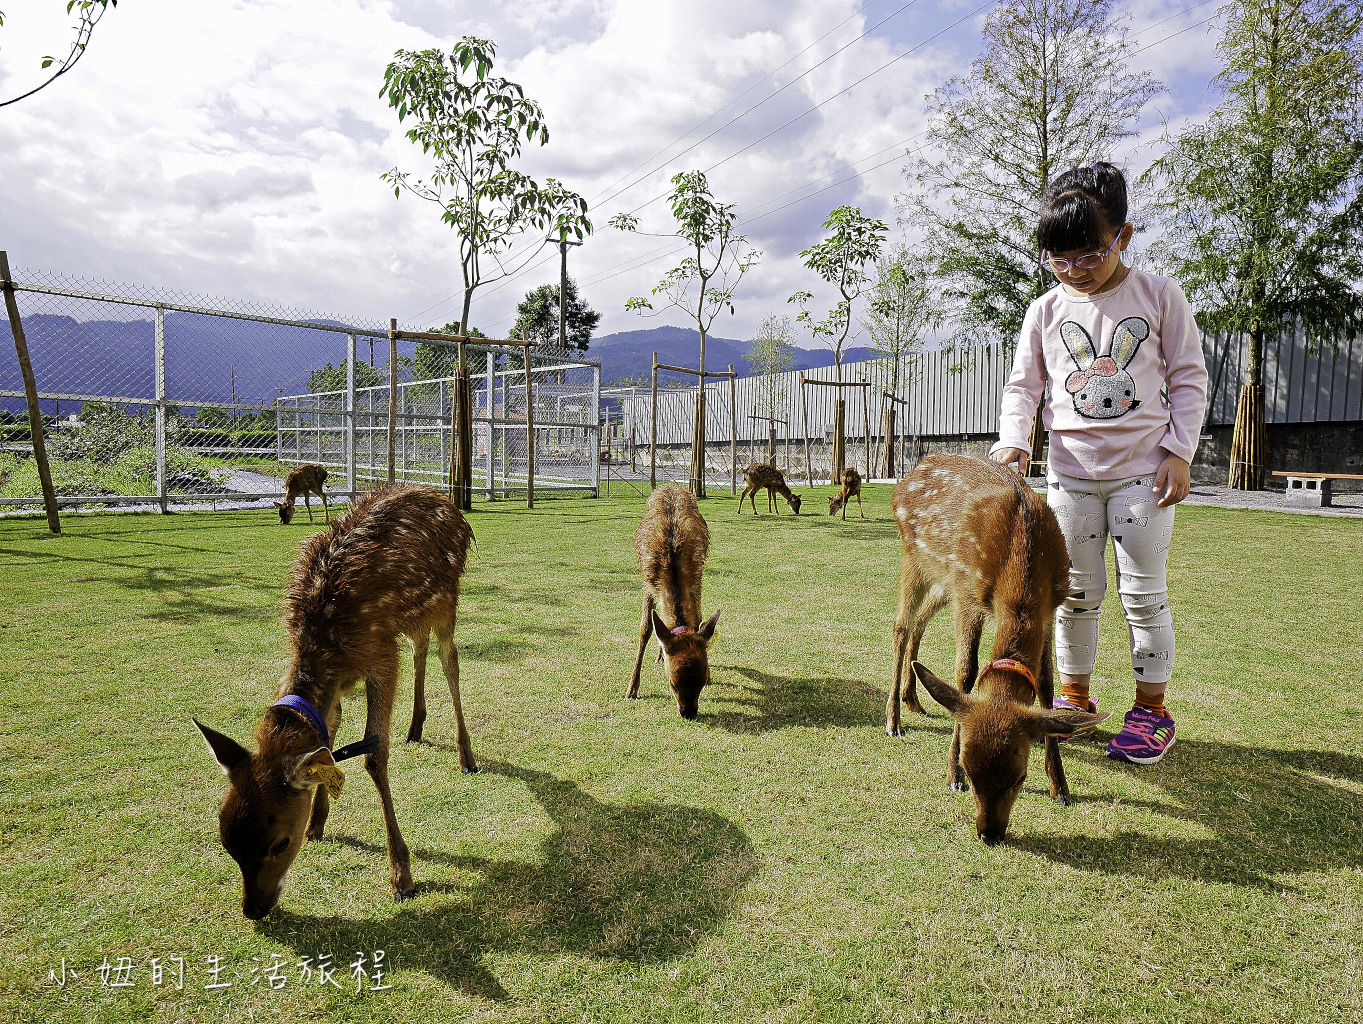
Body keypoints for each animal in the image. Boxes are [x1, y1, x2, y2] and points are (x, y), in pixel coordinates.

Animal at [194, 485, 477, 916]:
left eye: (279, 842)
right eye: (227, 840)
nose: (253, 909)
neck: (325, 646)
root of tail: (449, 503)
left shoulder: (380, 654)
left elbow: (374, 756)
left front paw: (402, 877)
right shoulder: (343, 679)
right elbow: (328, 738)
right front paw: (317, 824)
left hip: (447, 599)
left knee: (450, 660)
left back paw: (467, 756)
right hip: (416, 616)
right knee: (420, 648)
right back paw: (414, 728)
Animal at [624, 482, 719, 714]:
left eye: (701, 683)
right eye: (673, 684)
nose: (689, 714)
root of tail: (671, 485)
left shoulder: (697, 579)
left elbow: (699, 620)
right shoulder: (648, 584)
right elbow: (645, 628)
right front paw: (631, 689)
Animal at [888, 455, 1112, 839]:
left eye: (1020, 777)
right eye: (970, 769)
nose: (988, 833)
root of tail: (913, 472)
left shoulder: (1050, 608)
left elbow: (1047, 685)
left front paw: (1060, 787)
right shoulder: (967, 590)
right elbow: (966, 674)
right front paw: (951, 776)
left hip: (940, 578)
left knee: (918, 623)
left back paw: (914, 700)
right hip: (915, 556)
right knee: (901, 626)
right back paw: (894, 720)